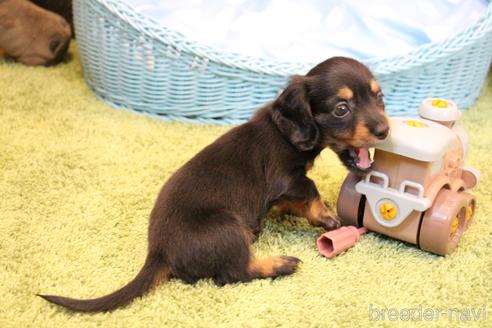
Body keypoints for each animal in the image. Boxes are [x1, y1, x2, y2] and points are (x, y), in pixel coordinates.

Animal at [38, 57, 390, 312]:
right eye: (341, 109)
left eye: (379, 98)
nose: (385, 130)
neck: (286, 131)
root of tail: (159, 251)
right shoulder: (286, 177)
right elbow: (311, 190)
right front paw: (326, 216)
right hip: (229, 229)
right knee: (232, 274)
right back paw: (280, 265)